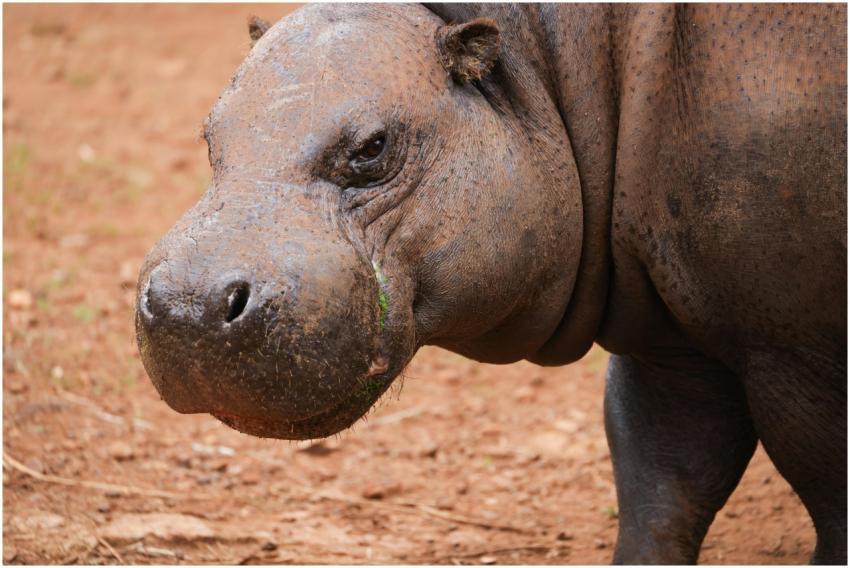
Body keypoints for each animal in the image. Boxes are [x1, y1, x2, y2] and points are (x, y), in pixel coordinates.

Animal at [135, 3, 847, 564]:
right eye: (209, 134)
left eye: (372, 147)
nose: (188, 304)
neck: (552, 72)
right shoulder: (666, 346)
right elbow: (662, 486)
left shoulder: (794, 354)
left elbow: (819, 489)